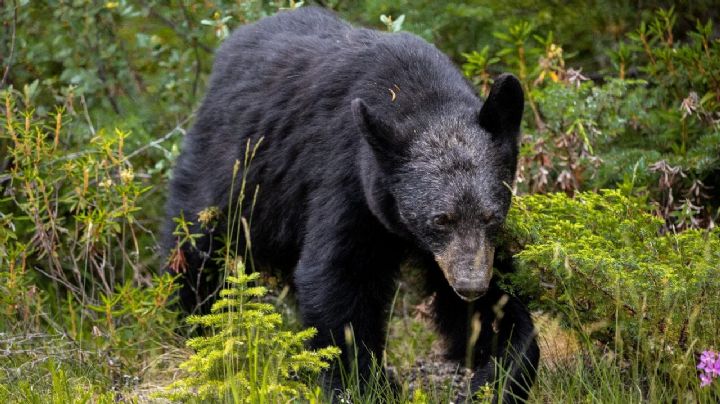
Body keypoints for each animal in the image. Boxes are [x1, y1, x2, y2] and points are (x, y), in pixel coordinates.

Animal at [164, 6, 538, 402]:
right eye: (440, 219)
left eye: (491, 216)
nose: (470, 285)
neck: (417, 96)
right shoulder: (347, 178)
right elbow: (338, 276)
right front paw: (363, 383)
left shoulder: (465, 249)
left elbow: (491, 309)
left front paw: (498, 374)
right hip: (232, 171)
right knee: (197, 247)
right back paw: (197, 325)